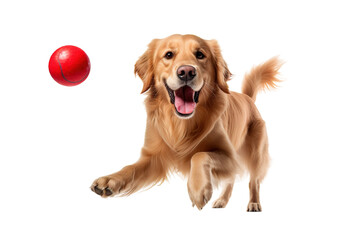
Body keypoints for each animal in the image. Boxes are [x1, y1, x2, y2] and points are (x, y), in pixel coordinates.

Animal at [89, 33, 282, 210]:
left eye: (200, 54)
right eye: (168, 55)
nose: (187, 72)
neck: (182, 124)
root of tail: (248, 98)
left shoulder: (230, 155)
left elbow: (199, 155)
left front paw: (198, 189)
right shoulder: (152, 157)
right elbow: (130, 168)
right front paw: (110, 180)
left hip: (256, 153)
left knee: (253, 181)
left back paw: (254, 203)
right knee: (231, 180)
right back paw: (222, 201)